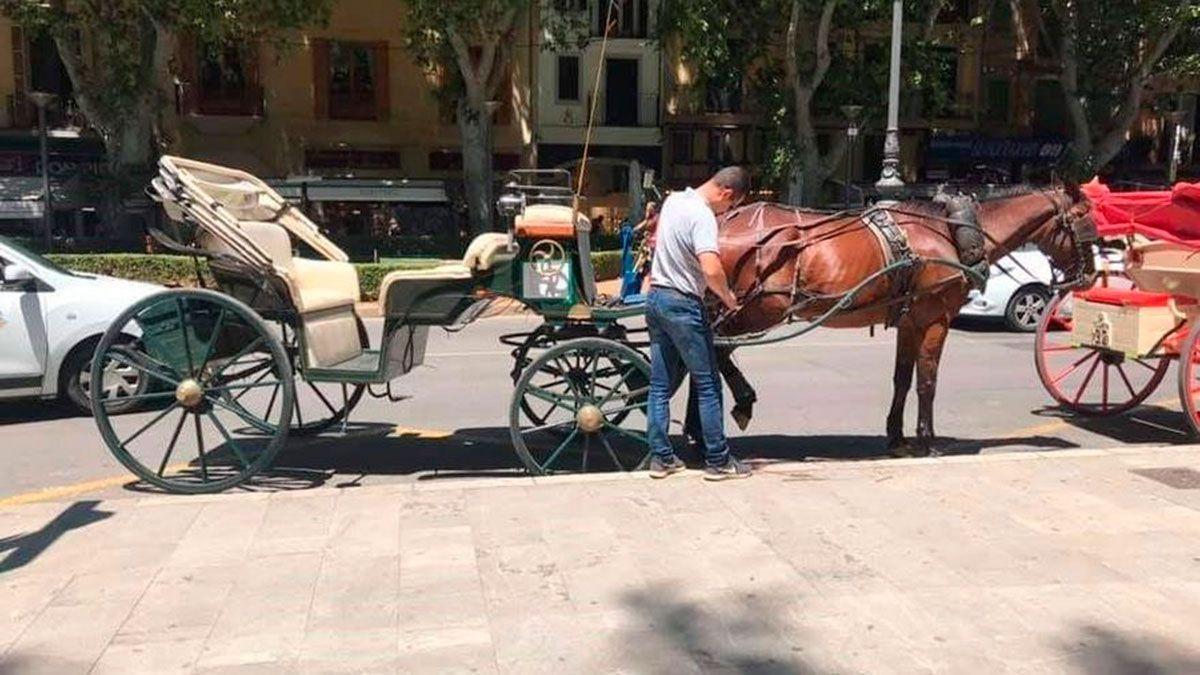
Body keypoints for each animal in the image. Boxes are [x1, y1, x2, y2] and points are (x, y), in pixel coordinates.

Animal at [710, 186, 1099, 454]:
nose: (1091, 275)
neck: (951, 232)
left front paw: (896, 436)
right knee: (715, 352)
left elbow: (901, 379)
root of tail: (723, 221)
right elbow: (927, 381)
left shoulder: (910, 322)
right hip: (757, 310)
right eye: (1086, 219)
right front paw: (927, 440)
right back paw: (740, 405)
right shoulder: (936, 319)